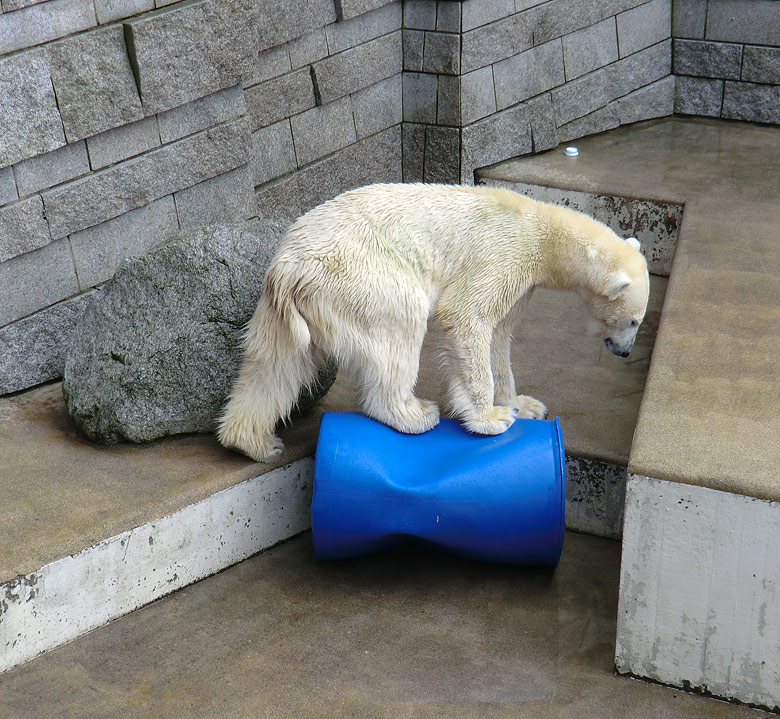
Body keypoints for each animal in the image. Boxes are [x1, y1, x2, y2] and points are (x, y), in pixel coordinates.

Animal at [216, 184, 648, 462]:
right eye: (633, 320)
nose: (625, 351)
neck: (541, 229)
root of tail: (290, 269)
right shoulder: (503, 252)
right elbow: (467, 314)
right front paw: (491, 418)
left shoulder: (521, 281)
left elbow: (499, 337)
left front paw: (523, 405)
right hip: (361, 277)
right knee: (398, 330)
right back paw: (415, 414)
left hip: (288, 306)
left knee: (276, 365)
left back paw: (253, 442)